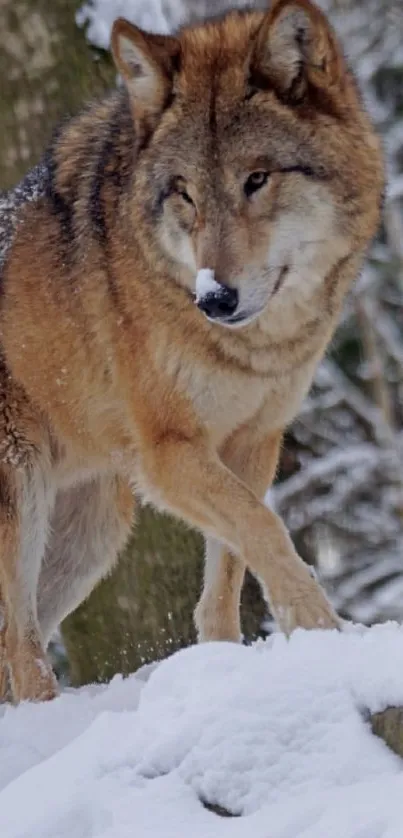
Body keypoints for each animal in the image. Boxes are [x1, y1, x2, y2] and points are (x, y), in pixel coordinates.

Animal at [0, 0, 386, 704]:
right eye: (184, 192)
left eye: (257, 179)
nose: (215, 297)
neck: (254, 348)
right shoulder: (169, 452)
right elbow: (265, 530)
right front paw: (325, 633)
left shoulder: (253, 441)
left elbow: (229, 570)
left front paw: (227, 664)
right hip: (25, 498)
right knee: (21, 646)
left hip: (92, 535)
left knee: (16, 642)